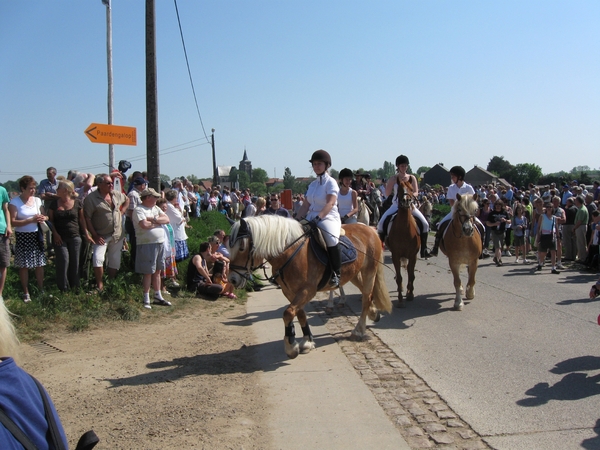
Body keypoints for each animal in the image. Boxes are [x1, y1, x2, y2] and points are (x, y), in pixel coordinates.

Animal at [227, 214, 392, 358]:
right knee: (366, 294)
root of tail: (369, 228)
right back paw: (373, 313)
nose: (232, 279)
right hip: (354, 273)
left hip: (369, 270)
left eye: (242, 247)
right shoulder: (290, 292)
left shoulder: (307, 290)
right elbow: (299, 313)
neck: (289, 252)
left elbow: (288, 313)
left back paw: (358, 330)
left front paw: (291, 346)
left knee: (366, 297)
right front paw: (307, 341)